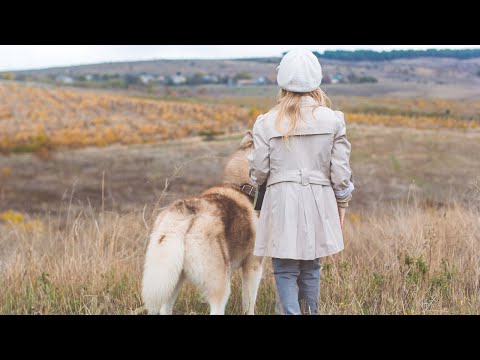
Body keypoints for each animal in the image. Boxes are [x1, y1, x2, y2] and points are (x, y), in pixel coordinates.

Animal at [141, 132, 264, 316]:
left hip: (172, 280)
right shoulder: (253, 266)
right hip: (220, 285)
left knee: (165, 308)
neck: (241, 186)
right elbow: (249, 304)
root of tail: (185, 212)